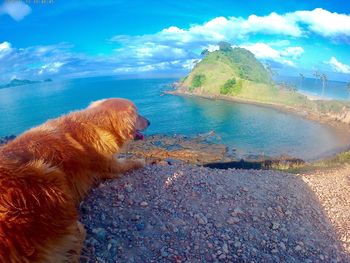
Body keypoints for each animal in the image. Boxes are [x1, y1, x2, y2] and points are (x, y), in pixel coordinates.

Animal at [0, 99, 149, 263]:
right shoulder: (110, 165)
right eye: (137, 114)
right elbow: (128, 162)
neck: (96, 123)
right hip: (48, 175)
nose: (149, 121)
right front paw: (140, 161)